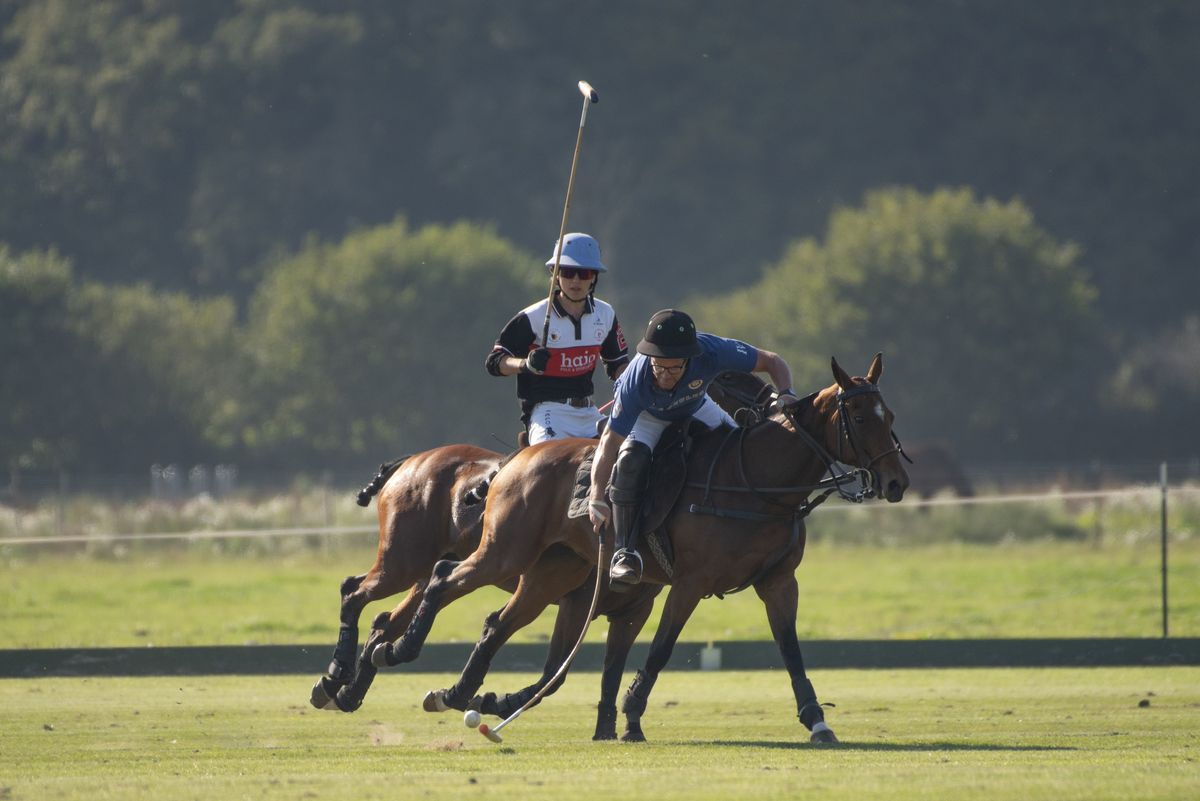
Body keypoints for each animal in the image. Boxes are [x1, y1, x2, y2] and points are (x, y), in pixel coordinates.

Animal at [309, 443, 662, 738]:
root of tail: (410, 461)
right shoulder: (575, 599)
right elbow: (556, 670)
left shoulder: (634, 611)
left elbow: (617, 668)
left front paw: (616, 730)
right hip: (405, 562)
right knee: (354, 591)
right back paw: (338, 671)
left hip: (432, 570)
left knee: (387, 621)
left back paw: (346, 691)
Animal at [374, 357, 907, 743]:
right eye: (861, 417)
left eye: (891, 417)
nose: (896, 482)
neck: (752, 481)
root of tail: (515, 460)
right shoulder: (689, 583)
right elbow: (660, 650)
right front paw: (631, 716)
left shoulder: (777, 582)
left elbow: (791, 649)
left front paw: (817, 721)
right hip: (506, 551)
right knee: (441, 577)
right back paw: (398, 653)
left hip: (550, 572)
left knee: (493, 623)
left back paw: (456, 692)